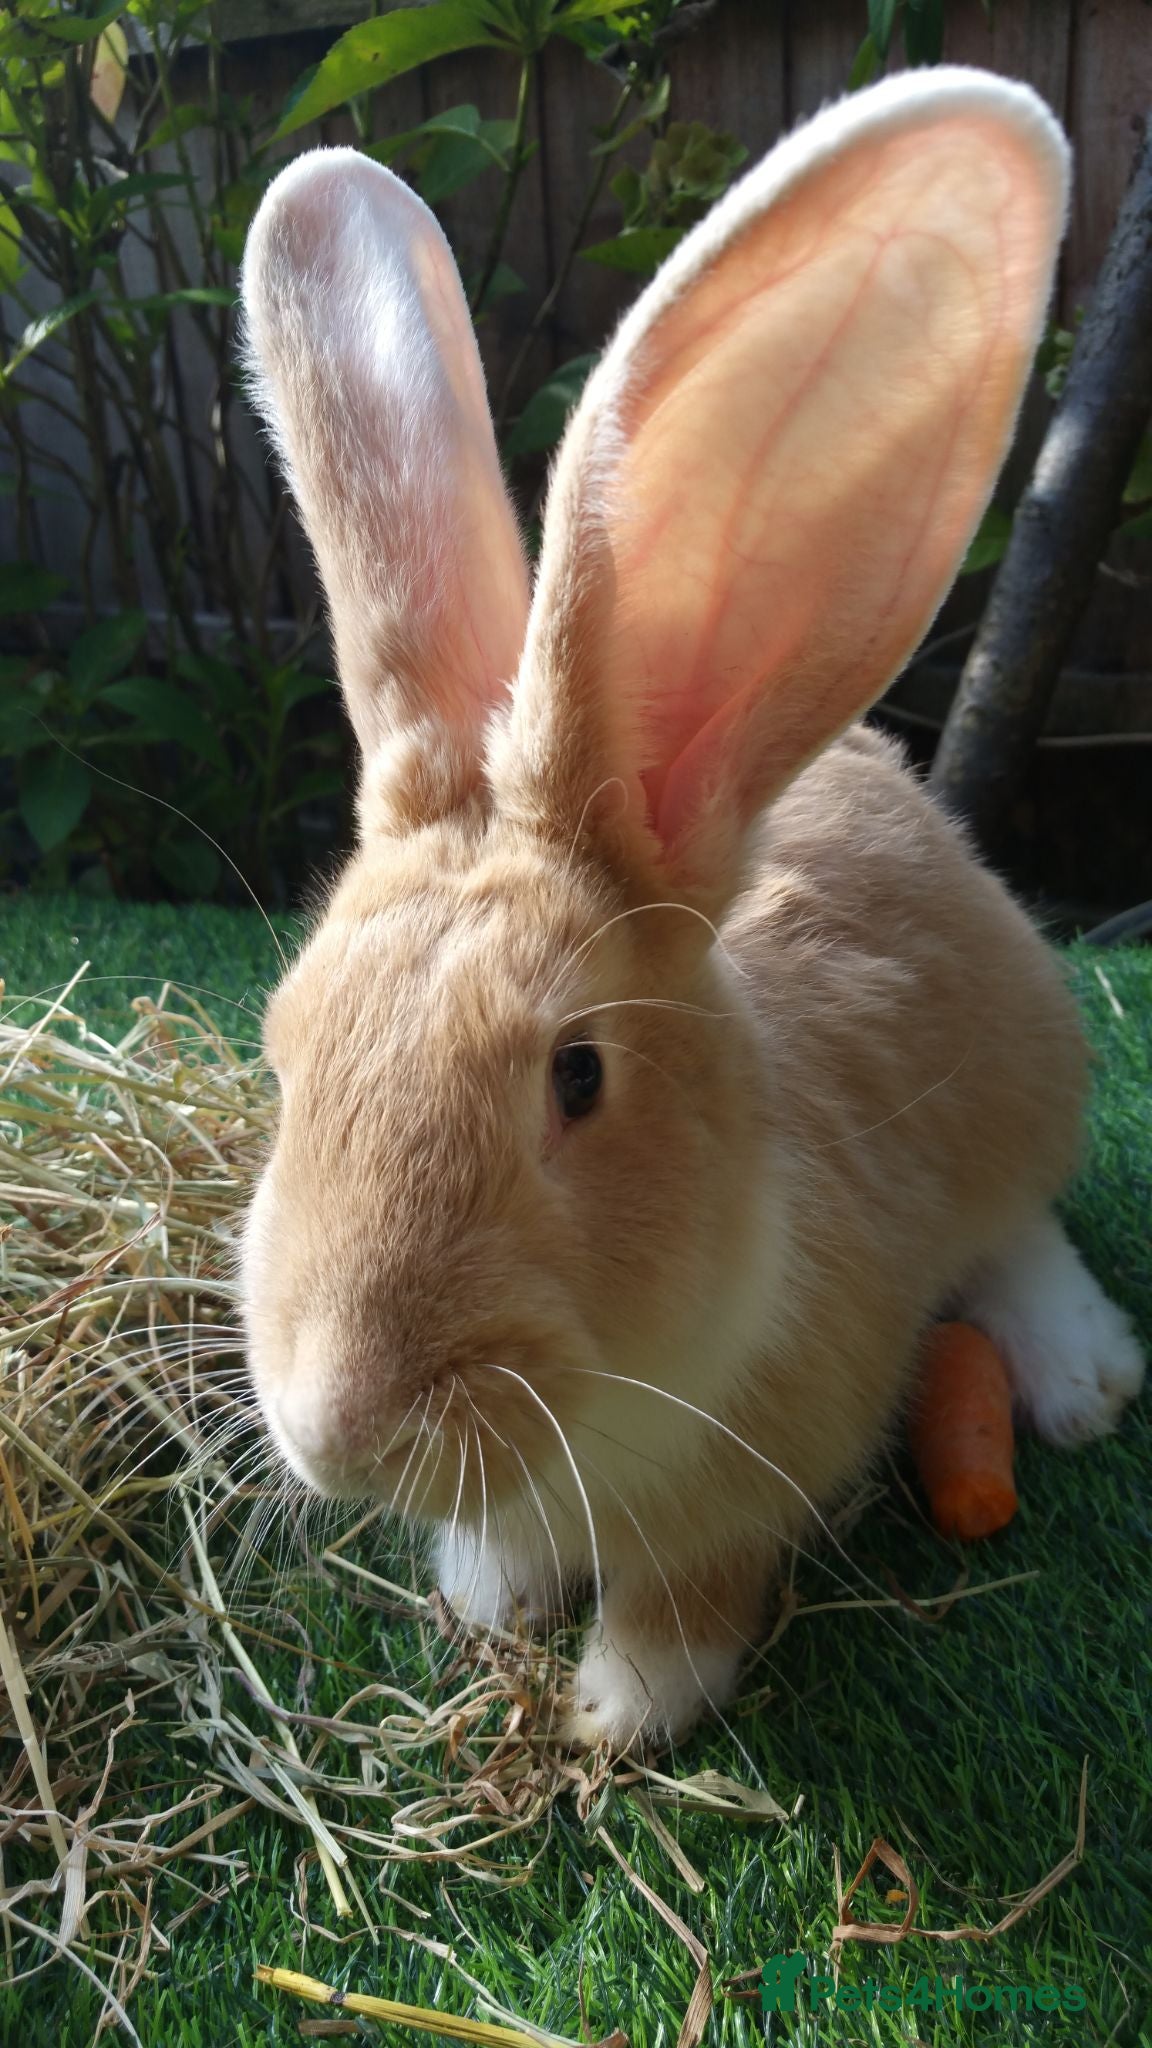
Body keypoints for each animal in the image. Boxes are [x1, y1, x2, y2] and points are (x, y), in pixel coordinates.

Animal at [238, 67, 1145, 1752]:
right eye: (283, 1061)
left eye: (579, 1077)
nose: (342, 1429)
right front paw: (490, 1597)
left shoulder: (761, 1474)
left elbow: (692, 1595)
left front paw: (622, 1708)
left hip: (1025, 1068)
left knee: (1020, 1225)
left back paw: (1079, 1377)